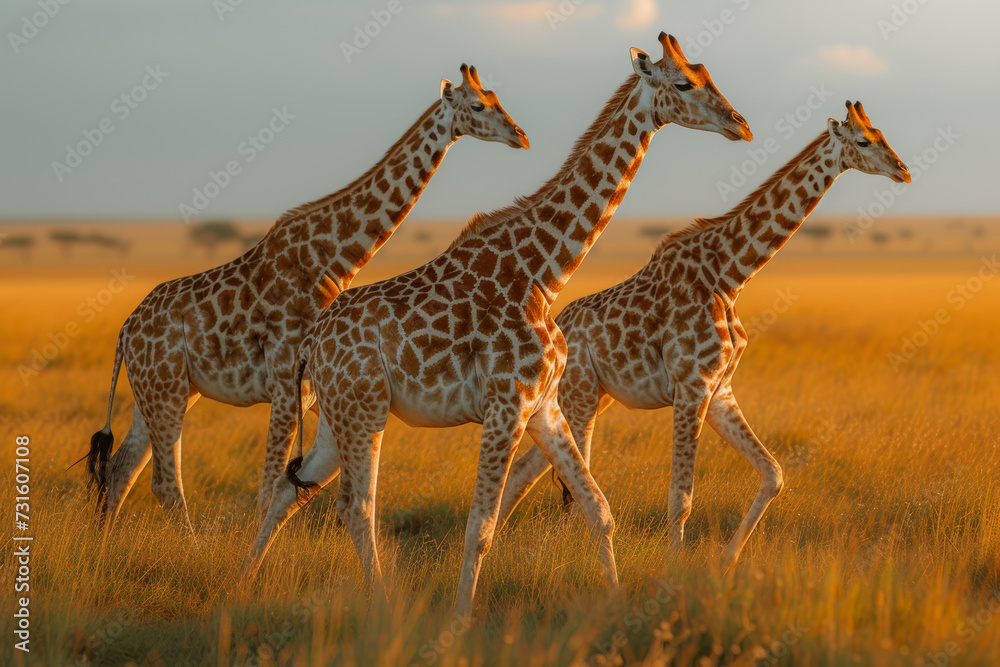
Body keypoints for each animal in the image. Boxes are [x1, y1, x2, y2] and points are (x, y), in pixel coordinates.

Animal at [84, 64, 530, 533]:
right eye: (478, 105)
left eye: (497, 98)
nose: (520, 136)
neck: (334, 257)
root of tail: (125, 329)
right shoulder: (285, 379)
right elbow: (270, 486)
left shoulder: (314, 387)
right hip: (166, 390)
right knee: (163, 483)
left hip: (161, 389)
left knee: (121, 468)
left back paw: (103, 544)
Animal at [245, 32, 753, 617]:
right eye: (684, 84)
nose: (741, 124)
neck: (544, 274)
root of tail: (313, 342)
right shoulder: (505, 405)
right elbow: (481, 527)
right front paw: (460, 619)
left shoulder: (544, 406)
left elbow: (598, 508)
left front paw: (615, 599)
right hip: (364, 410)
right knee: (356, 507)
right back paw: (381, 603)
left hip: (335, 416)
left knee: (292, 492)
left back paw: (243, 582)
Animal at [497, 101, 910, 571]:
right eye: (863, 141)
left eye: (882, 135)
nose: (902, 170)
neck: (732, 274)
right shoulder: (691, 387)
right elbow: (681, 497)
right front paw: (673, 570)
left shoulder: (720, 389)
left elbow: (773, 474)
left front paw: (727, 560)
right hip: (581, 398)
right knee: (567, 486)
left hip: (588, 399)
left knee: (526, 472)